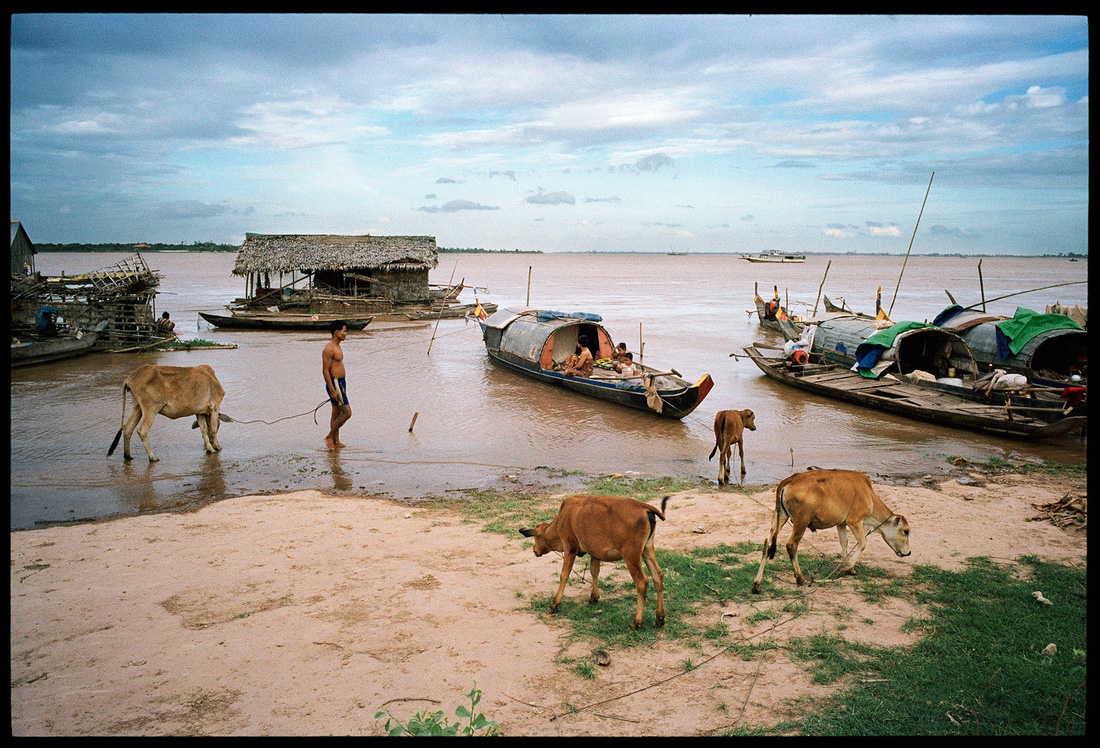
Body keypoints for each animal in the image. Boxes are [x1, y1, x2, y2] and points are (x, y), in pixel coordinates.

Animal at [521, 497, 668, 629]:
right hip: (647, 549)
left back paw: (637, 622)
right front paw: (594, 597)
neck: (562, 518)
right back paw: (659, 618)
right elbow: (594, 571)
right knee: (657, 576)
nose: (534, 550)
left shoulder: (570, 549)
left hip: (631, 556)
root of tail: (644, 507)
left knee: (642, 582)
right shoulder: (595, 553)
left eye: (536, 538)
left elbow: (564, 575)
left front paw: (554, 604)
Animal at [748, 466, 910, 594]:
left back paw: (757, 585)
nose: (908, 553)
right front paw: (847, 567)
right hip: (800, 522)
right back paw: (800, 578)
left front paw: (847, 567)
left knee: (767, 544)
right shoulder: (854, 521)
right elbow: (863, 542)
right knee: (791, 545)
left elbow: (844, 543)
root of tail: (788, 481)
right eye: (906, 531)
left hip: (779, 517)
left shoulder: (841, 523)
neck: (868, 494)